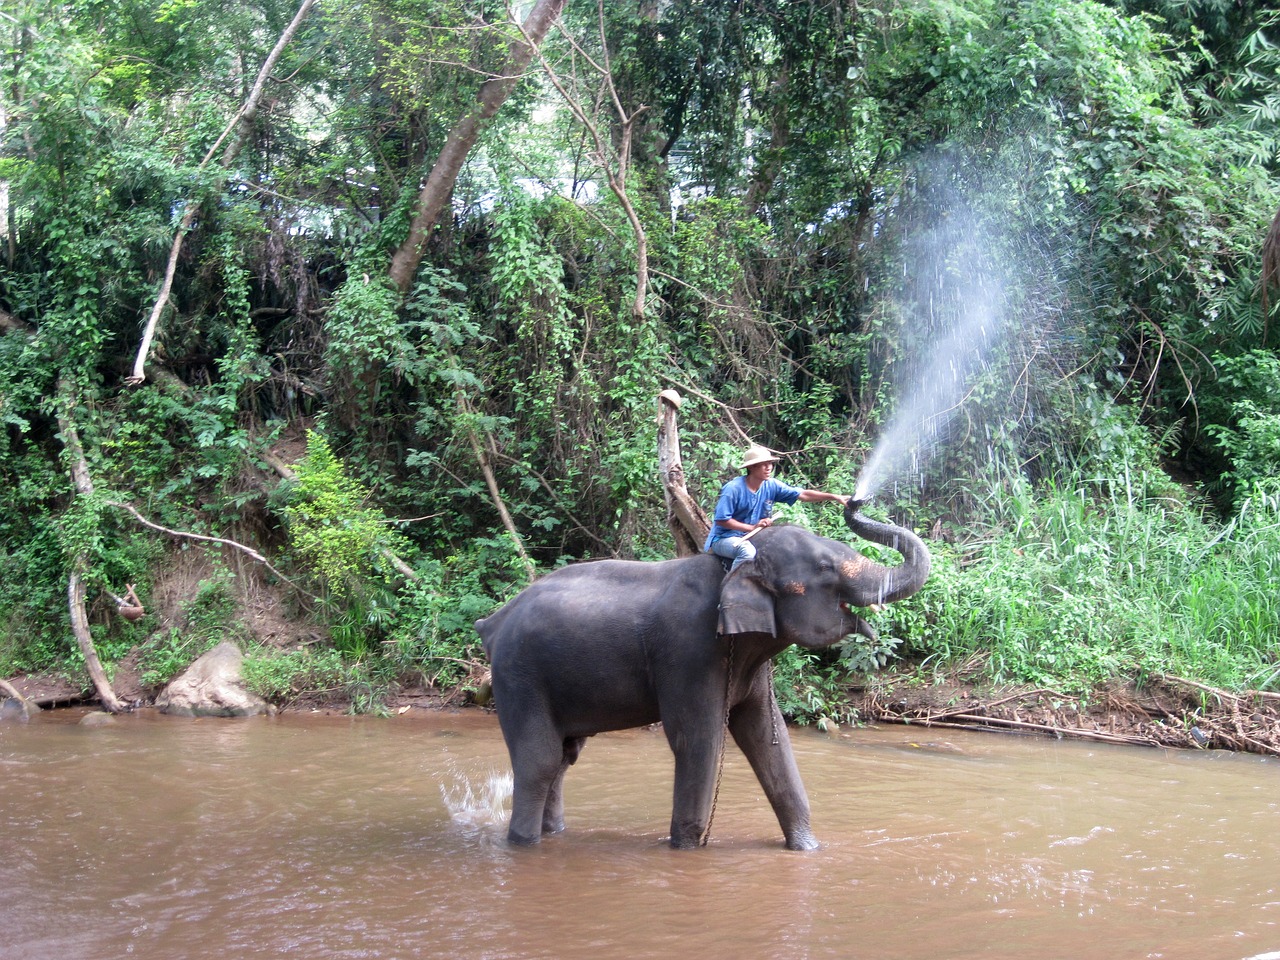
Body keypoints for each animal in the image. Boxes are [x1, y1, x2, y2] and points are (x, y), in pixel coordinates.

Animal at [473, 499, 931, 855]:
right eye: (824, 568)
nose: (854, 500)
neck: (734, 567)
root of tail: (493, 622)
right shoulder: (689, 652)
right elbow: (699, 741)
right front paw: (686, 851)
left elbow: (767, 739)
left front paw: (808, 850)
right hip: (519, 676)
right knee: (540, 761)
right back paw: (524, 845)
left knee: (564, 758)